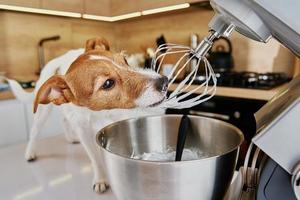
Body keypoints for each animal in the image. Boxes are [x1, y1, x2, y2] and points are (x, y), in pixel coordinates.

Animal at [7, 36, 166, 193]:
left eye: (125, 61)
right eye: (108, 83)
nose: (164, 81)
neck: (102, 113)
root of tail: (58, 59)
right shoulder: (84, 133)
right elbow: (95, 158)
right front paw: (100, 179)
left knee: (64, 120)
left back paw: (70, 138)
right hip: (42, 113)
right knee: (35, 131)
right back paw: (30, 152)